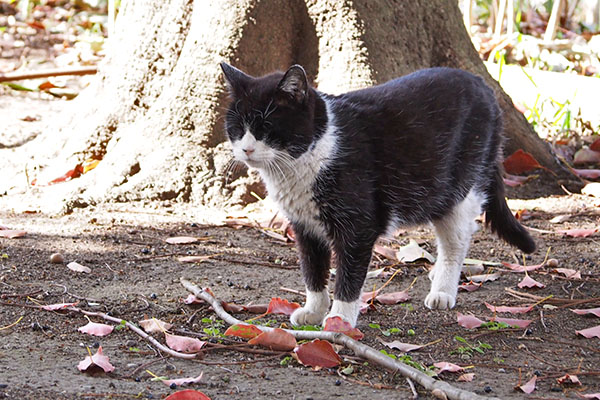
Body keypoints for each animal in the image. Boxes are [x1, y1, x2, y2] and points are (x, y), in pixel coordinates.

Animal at [219, 61, 536, 326]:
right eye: (237, 128)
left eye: (266, 127)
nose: (246, 149)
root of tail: (484, 86)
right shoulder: (304, 225)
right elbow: (312, 270)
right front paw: (313, 310)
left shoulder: (358, 225)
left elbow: (349, 276)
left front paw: (339, 321)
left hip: (463, 184)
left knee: (457, 240)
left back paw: (443, 290)